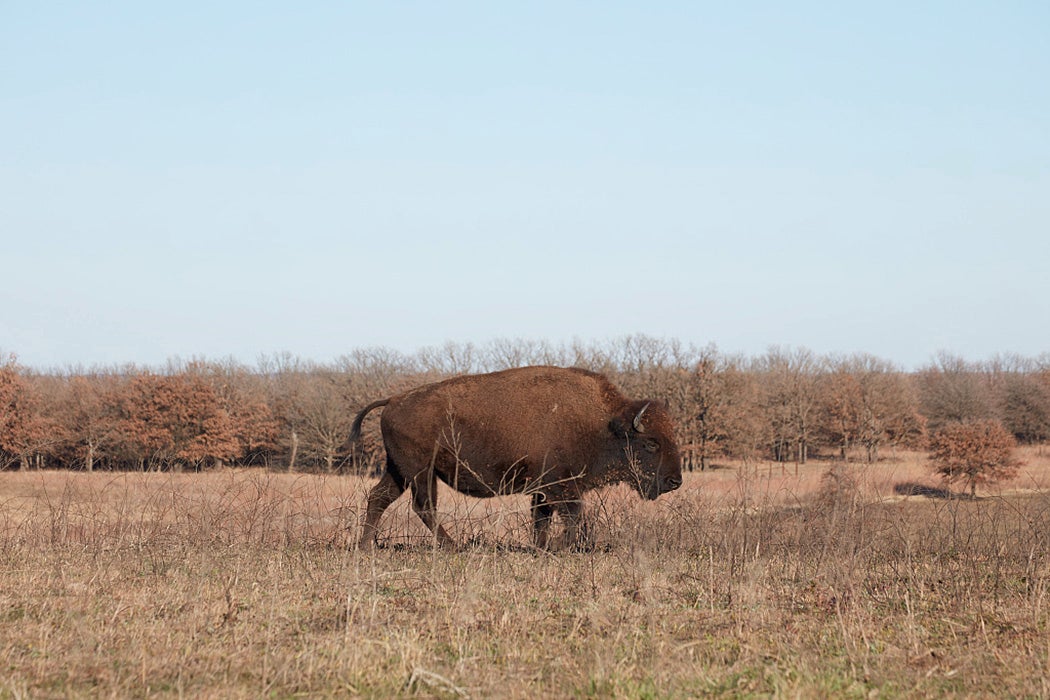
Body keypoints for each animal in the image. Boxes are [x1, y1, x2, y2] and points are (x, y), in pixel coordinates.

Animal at [348, 365, 684, 549]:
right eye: (651, 443)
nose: (675, 481)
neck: (604, 424)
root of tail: (393, 400)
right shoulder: (561, 486)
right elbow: (573, 517)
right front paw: (559, 546)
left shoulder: (543, 490)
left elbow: (542, 519)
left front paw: (542, 548)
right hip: (421, 473)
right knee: (423, 506)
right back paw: (452, 547)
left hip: (399, 471)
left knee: (379, 497)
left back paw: (366, 547)